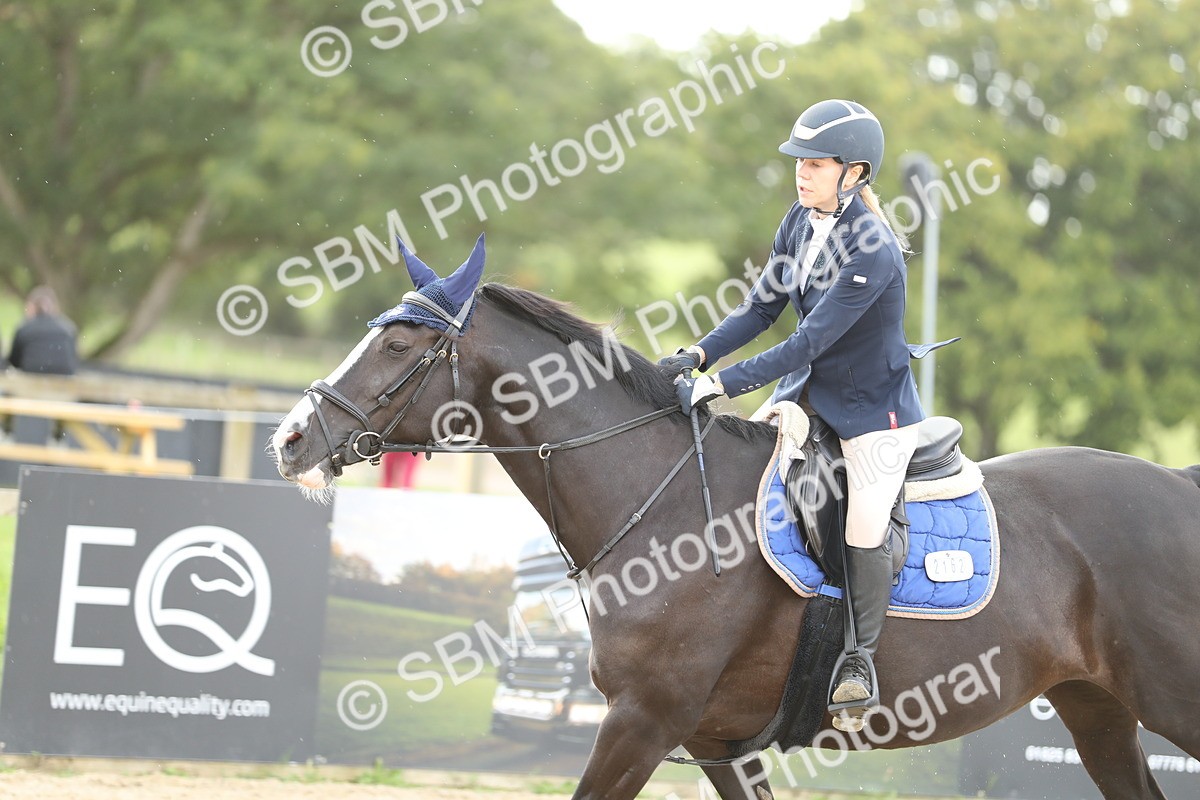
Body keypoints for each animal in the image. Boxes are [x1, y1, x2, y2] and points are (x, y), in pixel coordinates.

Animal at [272, 239, 1200, 800]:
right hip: (1097, 708)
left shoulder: (643, 719)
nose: (289, 440)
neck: (662, 501)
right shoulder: (718, 742)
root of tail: (1177, 483)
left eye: (398, 347)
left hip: (1170, 696)